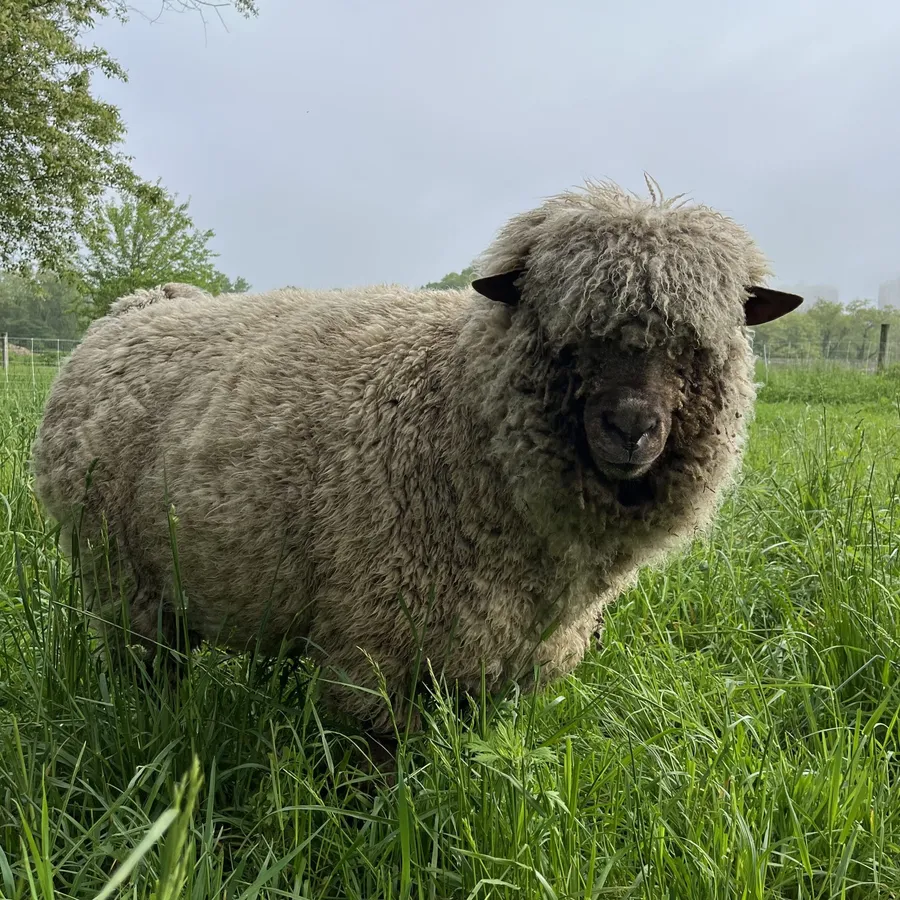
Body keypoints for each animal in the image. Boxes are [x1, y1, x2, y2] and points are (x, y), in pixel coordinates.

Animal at [31, 177, 801, 733]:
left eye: (694, 346)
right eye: (569, 337)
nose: (631, 429)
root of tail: (135, 309)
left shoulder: (501, 655)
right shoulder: (375, 639)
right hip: (121, 575)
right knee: (145, 667)